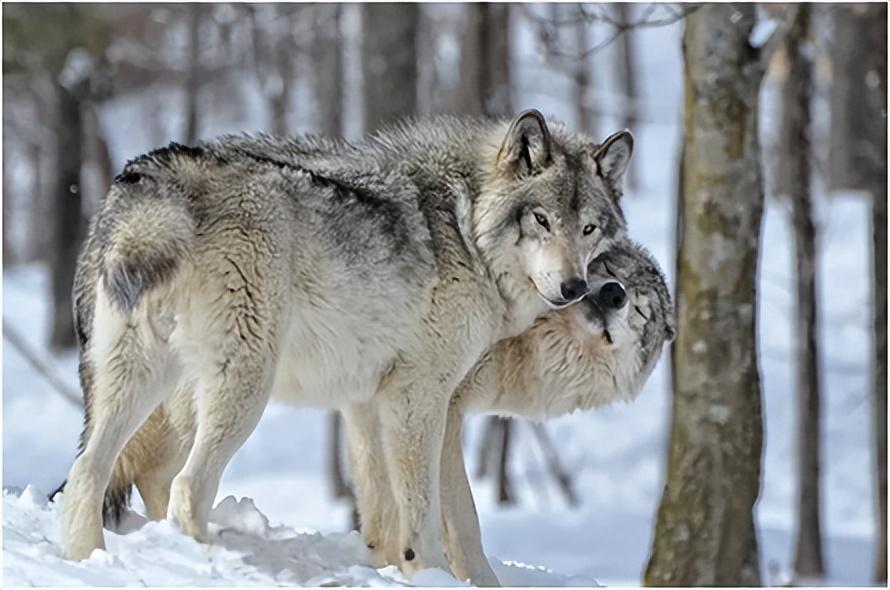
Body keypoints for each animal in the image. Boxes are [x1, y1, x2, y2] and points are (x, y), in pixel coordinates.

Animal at [60, 108, 632, 580]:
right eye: (541, 220)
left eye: (588, 229)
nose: (574, 288)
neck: (466, 228)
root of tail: (153, 176)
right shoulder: (417, 398)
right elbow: (423, 514)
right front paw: (427, 572)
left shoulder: (370, 402)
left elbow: (397, 514)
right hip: (243, 388)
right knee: (185, 487)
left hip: (139, 379)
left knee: (87, 472)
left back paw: (87, 560)